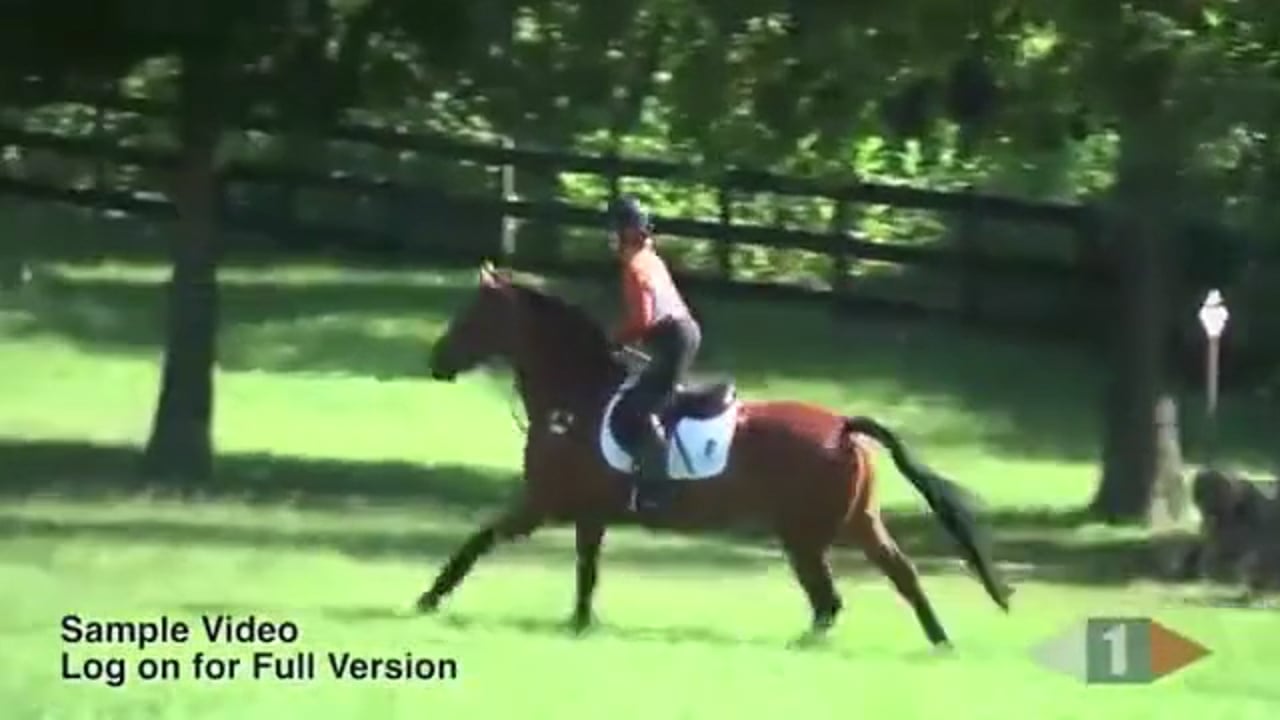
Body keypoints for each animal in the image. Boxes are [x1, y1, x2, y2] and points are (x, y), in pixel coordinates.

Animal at [418, 262, 1012, 647]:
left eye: (474, 316)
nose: (437, 361)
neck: (577, 396)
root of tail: (845, 428)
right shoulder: (588, 514)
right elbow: (586, 572)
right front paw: (580, 625)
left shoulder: (541, 504)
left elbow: (477, 542)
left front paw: (427, 600)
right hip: (857, 523)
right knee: (900, 576)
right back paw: (939, 642)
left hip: (804, 535)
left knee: (829, 600)